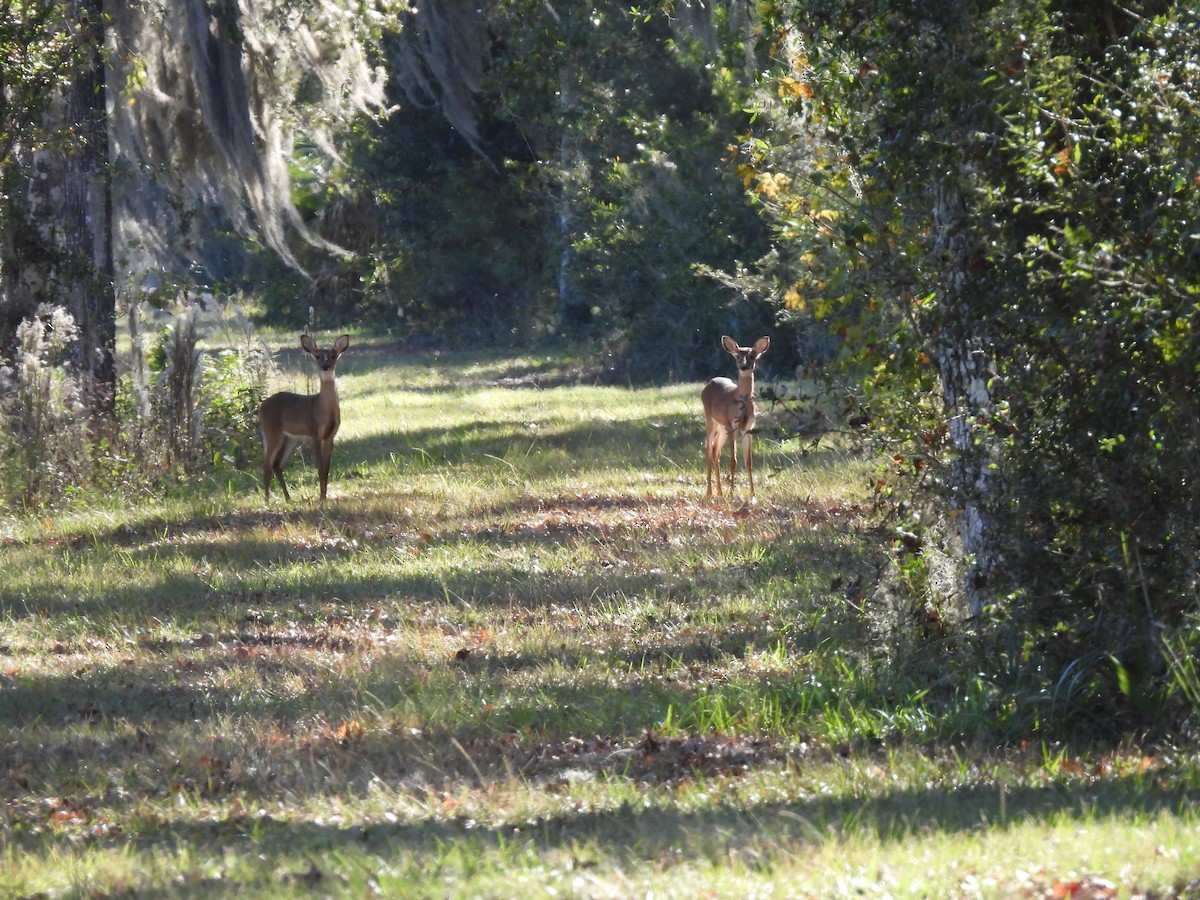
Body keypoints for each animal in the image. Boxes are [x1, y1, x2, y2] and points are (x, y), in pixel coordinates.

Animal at [259, 333, 350, 503]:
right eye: (318, 356)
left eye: (333, 355)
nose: (325, 366)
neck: (322, 409)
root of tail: (261, 406)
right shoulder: (314, 431)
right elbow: (320, 467)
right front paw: (321, 498)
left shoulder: (330, 435)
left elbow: (326, 467)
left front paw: (324, 497)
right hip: (271, 431)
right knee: (266, 464)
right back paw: (267, 500)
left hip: (290, 438)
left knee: (276, 464)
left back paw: (288, 498)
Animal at [701, 335, 771, 501]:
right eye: (738, 356)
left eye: (752, 356)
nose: (743, 366)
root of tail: (709, 384)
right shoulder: (732, 424)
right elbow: (733, 460)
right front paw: (732, 493)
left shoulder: (747, 428)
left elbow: (749, 461)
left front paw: (753, 494)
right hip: (711, 420)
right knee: (709, 450)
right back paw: (710, 492)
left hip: (722, 427)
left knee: (715, 450)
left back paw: (719, 492)